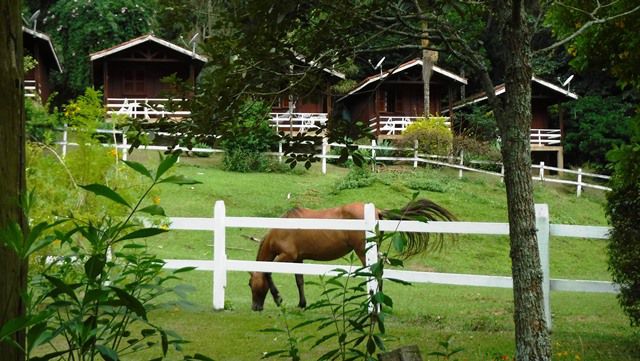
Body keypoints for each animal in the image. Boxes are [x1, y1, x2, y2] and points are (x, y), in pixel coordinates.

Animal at [249, 197, 456, 310]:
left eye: (250, 284)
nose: (255, 307)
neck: (283, 228)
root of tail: (377, 211)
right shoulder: (298, 259)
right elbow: (299, 280)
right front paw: (301, 303)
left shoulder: (287, 256)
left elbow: (268, 272)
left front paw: (278, 299)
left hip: (363, 252)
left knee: (375, 274)